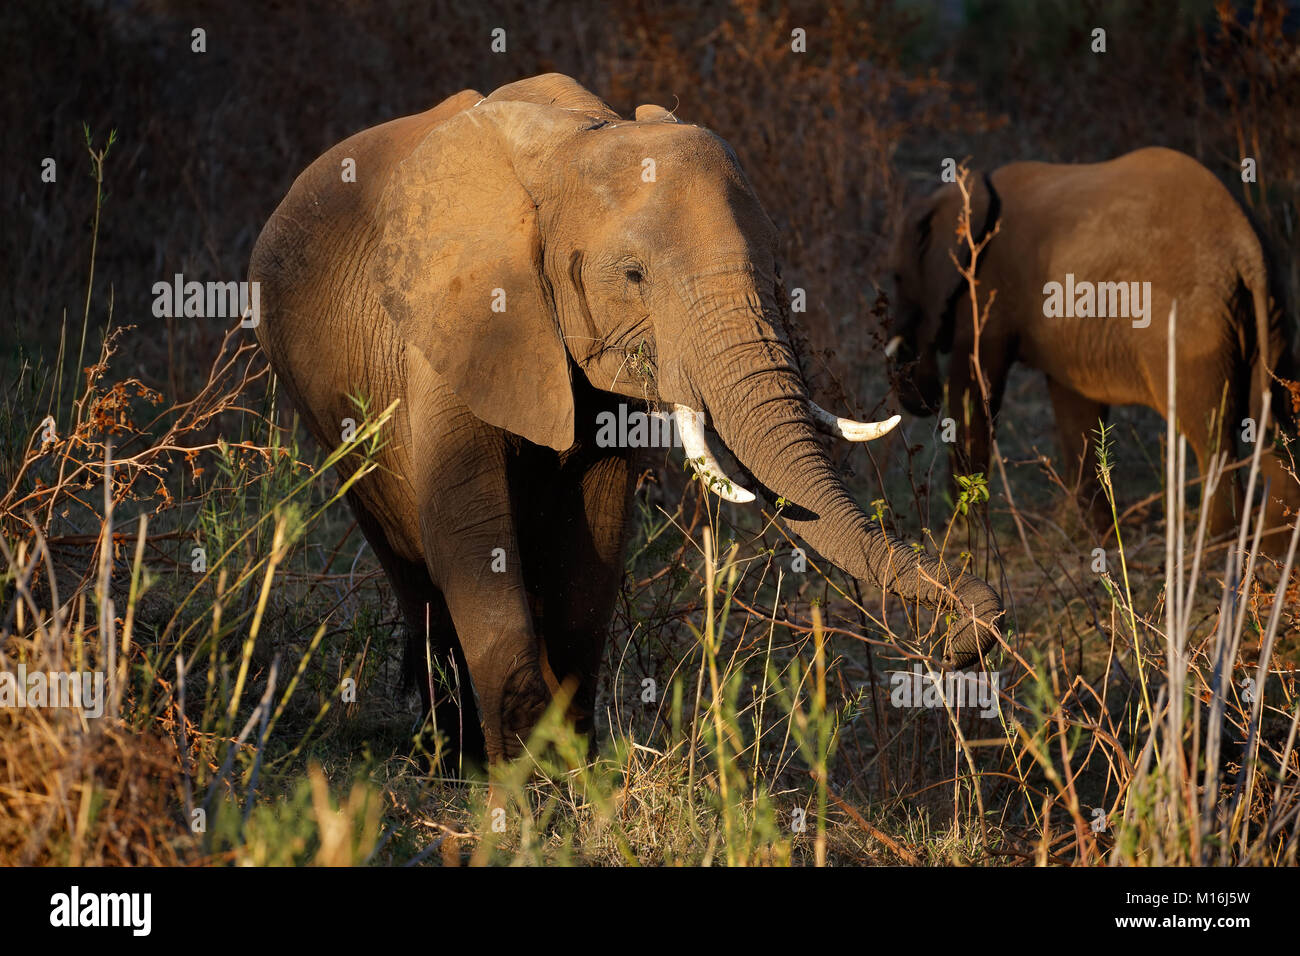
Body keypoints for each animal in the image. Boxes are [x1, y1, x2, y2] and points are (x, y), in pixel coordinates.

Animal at [250, 74, 1003, 765]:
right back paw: (449, 753)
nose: (968, 636)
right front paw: (524, 786)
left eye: (776, 262)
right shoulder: (454, 324)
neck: (573, 145)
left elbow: (597, 530)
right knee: (408, 559)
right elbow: (468, 529)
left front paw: (570, 767)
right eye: (635, 275)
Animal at [888, 146, 1293, 543]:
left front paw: (957, 534)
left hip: (1193, 328)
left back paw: (1215, 544)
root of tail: (1246, 246)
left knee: (1212, 435)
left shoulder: (986, 289)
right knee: (1275, 426)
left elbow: (971, 390)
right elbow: (1075, 407)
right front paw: (1096, 535)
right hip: (1272, 317)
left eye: (896, 277)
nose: (923, 395)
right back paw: (1274, 543)